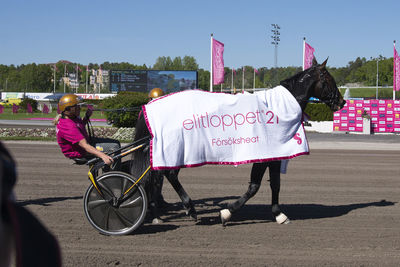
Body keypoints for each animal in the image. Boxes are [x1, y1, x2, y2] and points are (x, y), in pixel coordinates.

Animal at [131, 58, 344, 226]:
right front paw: (227, 212)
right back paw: (187, 208)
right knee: (166, 175)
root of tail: (151, 105)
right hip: (176, 149)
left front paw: (278, 214)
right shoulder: (263, 153)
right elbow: (254, 187)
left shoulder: (274, 154)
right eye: (329, 80)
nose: (341, 102)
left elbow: (275, 184)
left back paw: (158, 213)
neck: (278, 108)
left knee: (158, 177)